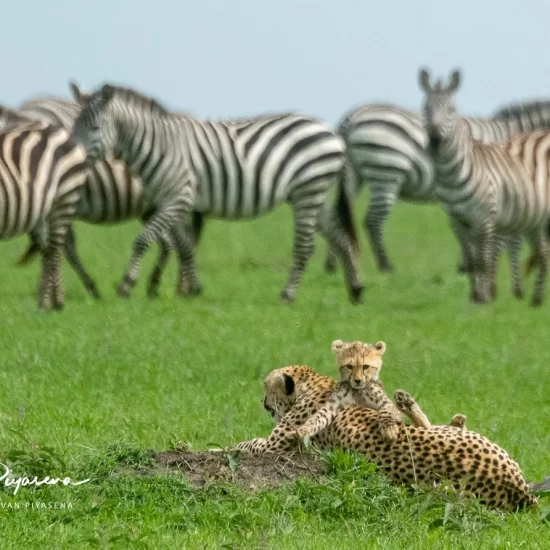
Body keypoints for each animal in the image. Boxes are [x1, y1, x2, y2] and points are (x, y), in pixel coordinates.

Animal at [0, 104, 87, 310]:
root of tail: (56, 129)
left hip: (64, 199)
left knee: (54, 251)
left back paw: (44, 306)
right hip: (42, 214)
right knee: (47, 249)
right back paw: (55, 302)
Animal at [71, 84, 364, 304]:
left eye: (95, 129)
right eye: (74, 127)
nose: (72, 158)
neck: (159, 145)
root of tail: (332, 130)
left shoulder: (179, 198)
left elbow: (142, 240)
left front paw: (126, 285)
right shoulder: (171, 202)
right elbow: (185, 247)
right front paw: (193, 290)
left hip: (308, 190)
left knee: (306, 247)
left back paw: (287, 295)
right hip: (314, 194)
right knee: (340, 237)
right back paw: (356, 290)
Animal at [328, 97, 550, 282]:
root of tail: (352, 117)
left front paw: (467, 266)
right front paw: (473, 266)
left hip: (354, 175)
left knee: (338, 215)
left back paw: (336, 265)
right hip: (386, 174)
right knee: (373, 221)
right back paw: (386, 266)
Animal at [420, 69, 550, 306]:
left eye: (451, 110)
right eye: (425, 108)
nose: (434, 140)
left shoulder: (487, 219)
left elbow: (485, 259)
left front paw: (485, 298)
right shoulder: (458, 221)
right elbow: (473, 258)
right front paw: (476, 296)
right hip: (535, 218)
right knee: (543, 252)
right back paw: (536, 300)